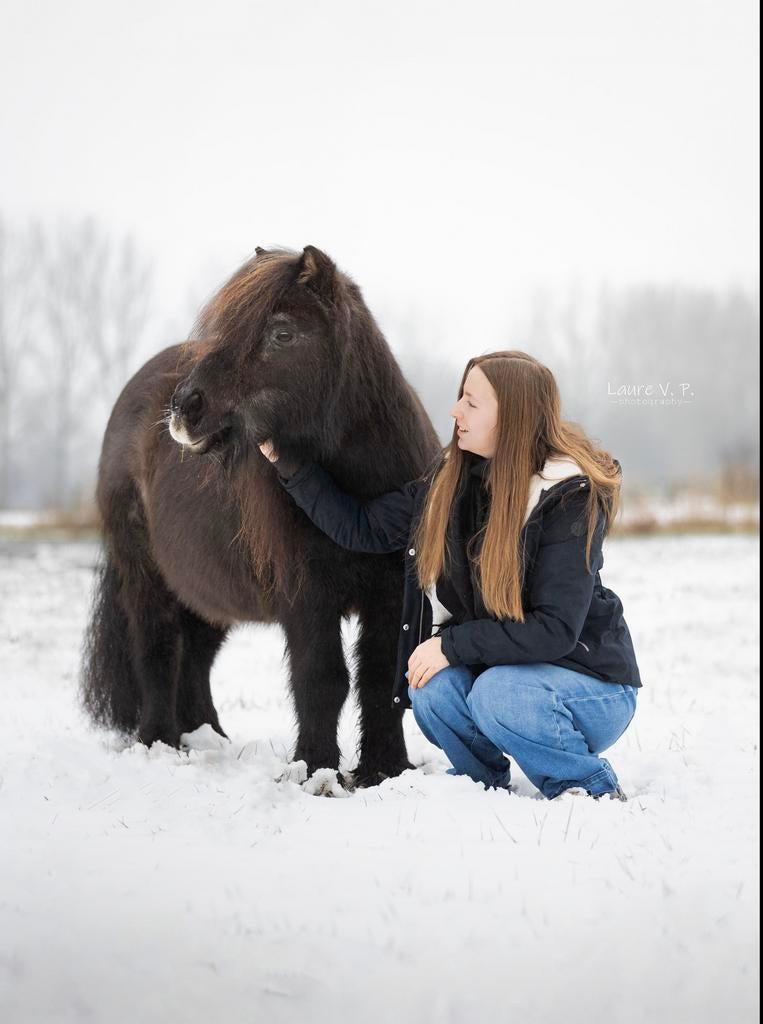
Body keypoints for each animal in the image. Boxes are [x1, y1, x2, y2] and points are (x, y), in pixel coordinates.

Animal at [81, 245, 440, 787]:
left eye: (282, 334)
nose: (185, 409)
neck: (365, 491)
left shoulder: (391, 593)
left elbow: (380, 680)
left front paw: (384, 771)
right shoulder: (308, 595)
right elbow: (322, 678)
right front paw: (316, 772)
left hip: (205, 589)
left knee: (195, 657)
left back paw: (209, 738)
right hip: (145, 576)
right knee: (158, 650)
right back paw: (161, 743)